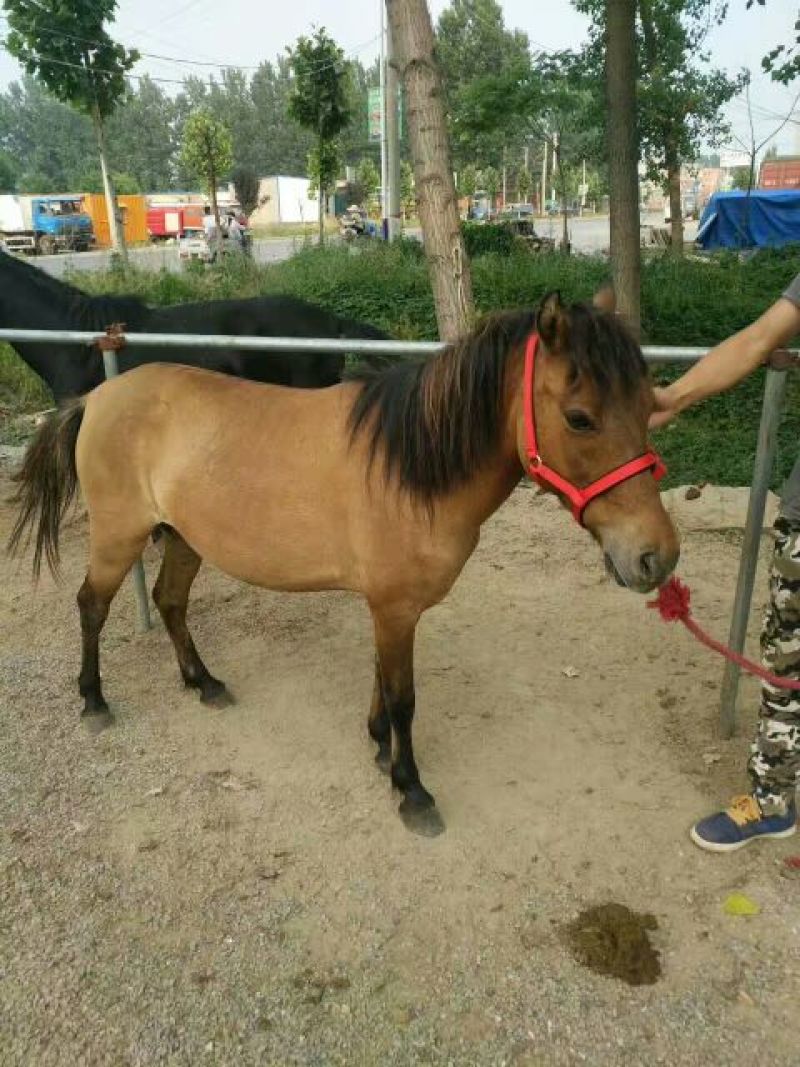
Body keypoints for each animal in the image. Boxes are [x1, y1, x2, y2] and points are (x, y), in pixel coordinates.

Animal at [8, 289, 680, 836]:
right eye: (579, 418)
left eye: (649, 405)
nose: (657, 556)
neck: (411, 468)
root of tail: (97, 396)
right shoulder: (395, 608)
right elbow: (404, 696)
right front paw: (411, 790)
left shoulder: (388, 609)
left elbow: (382, 682)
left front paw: (380, 748)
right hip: (119, 536)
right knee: (92, 606)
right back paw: (94, 702)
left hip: (182, 537)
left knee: (171, 602)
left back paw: (205, 684)